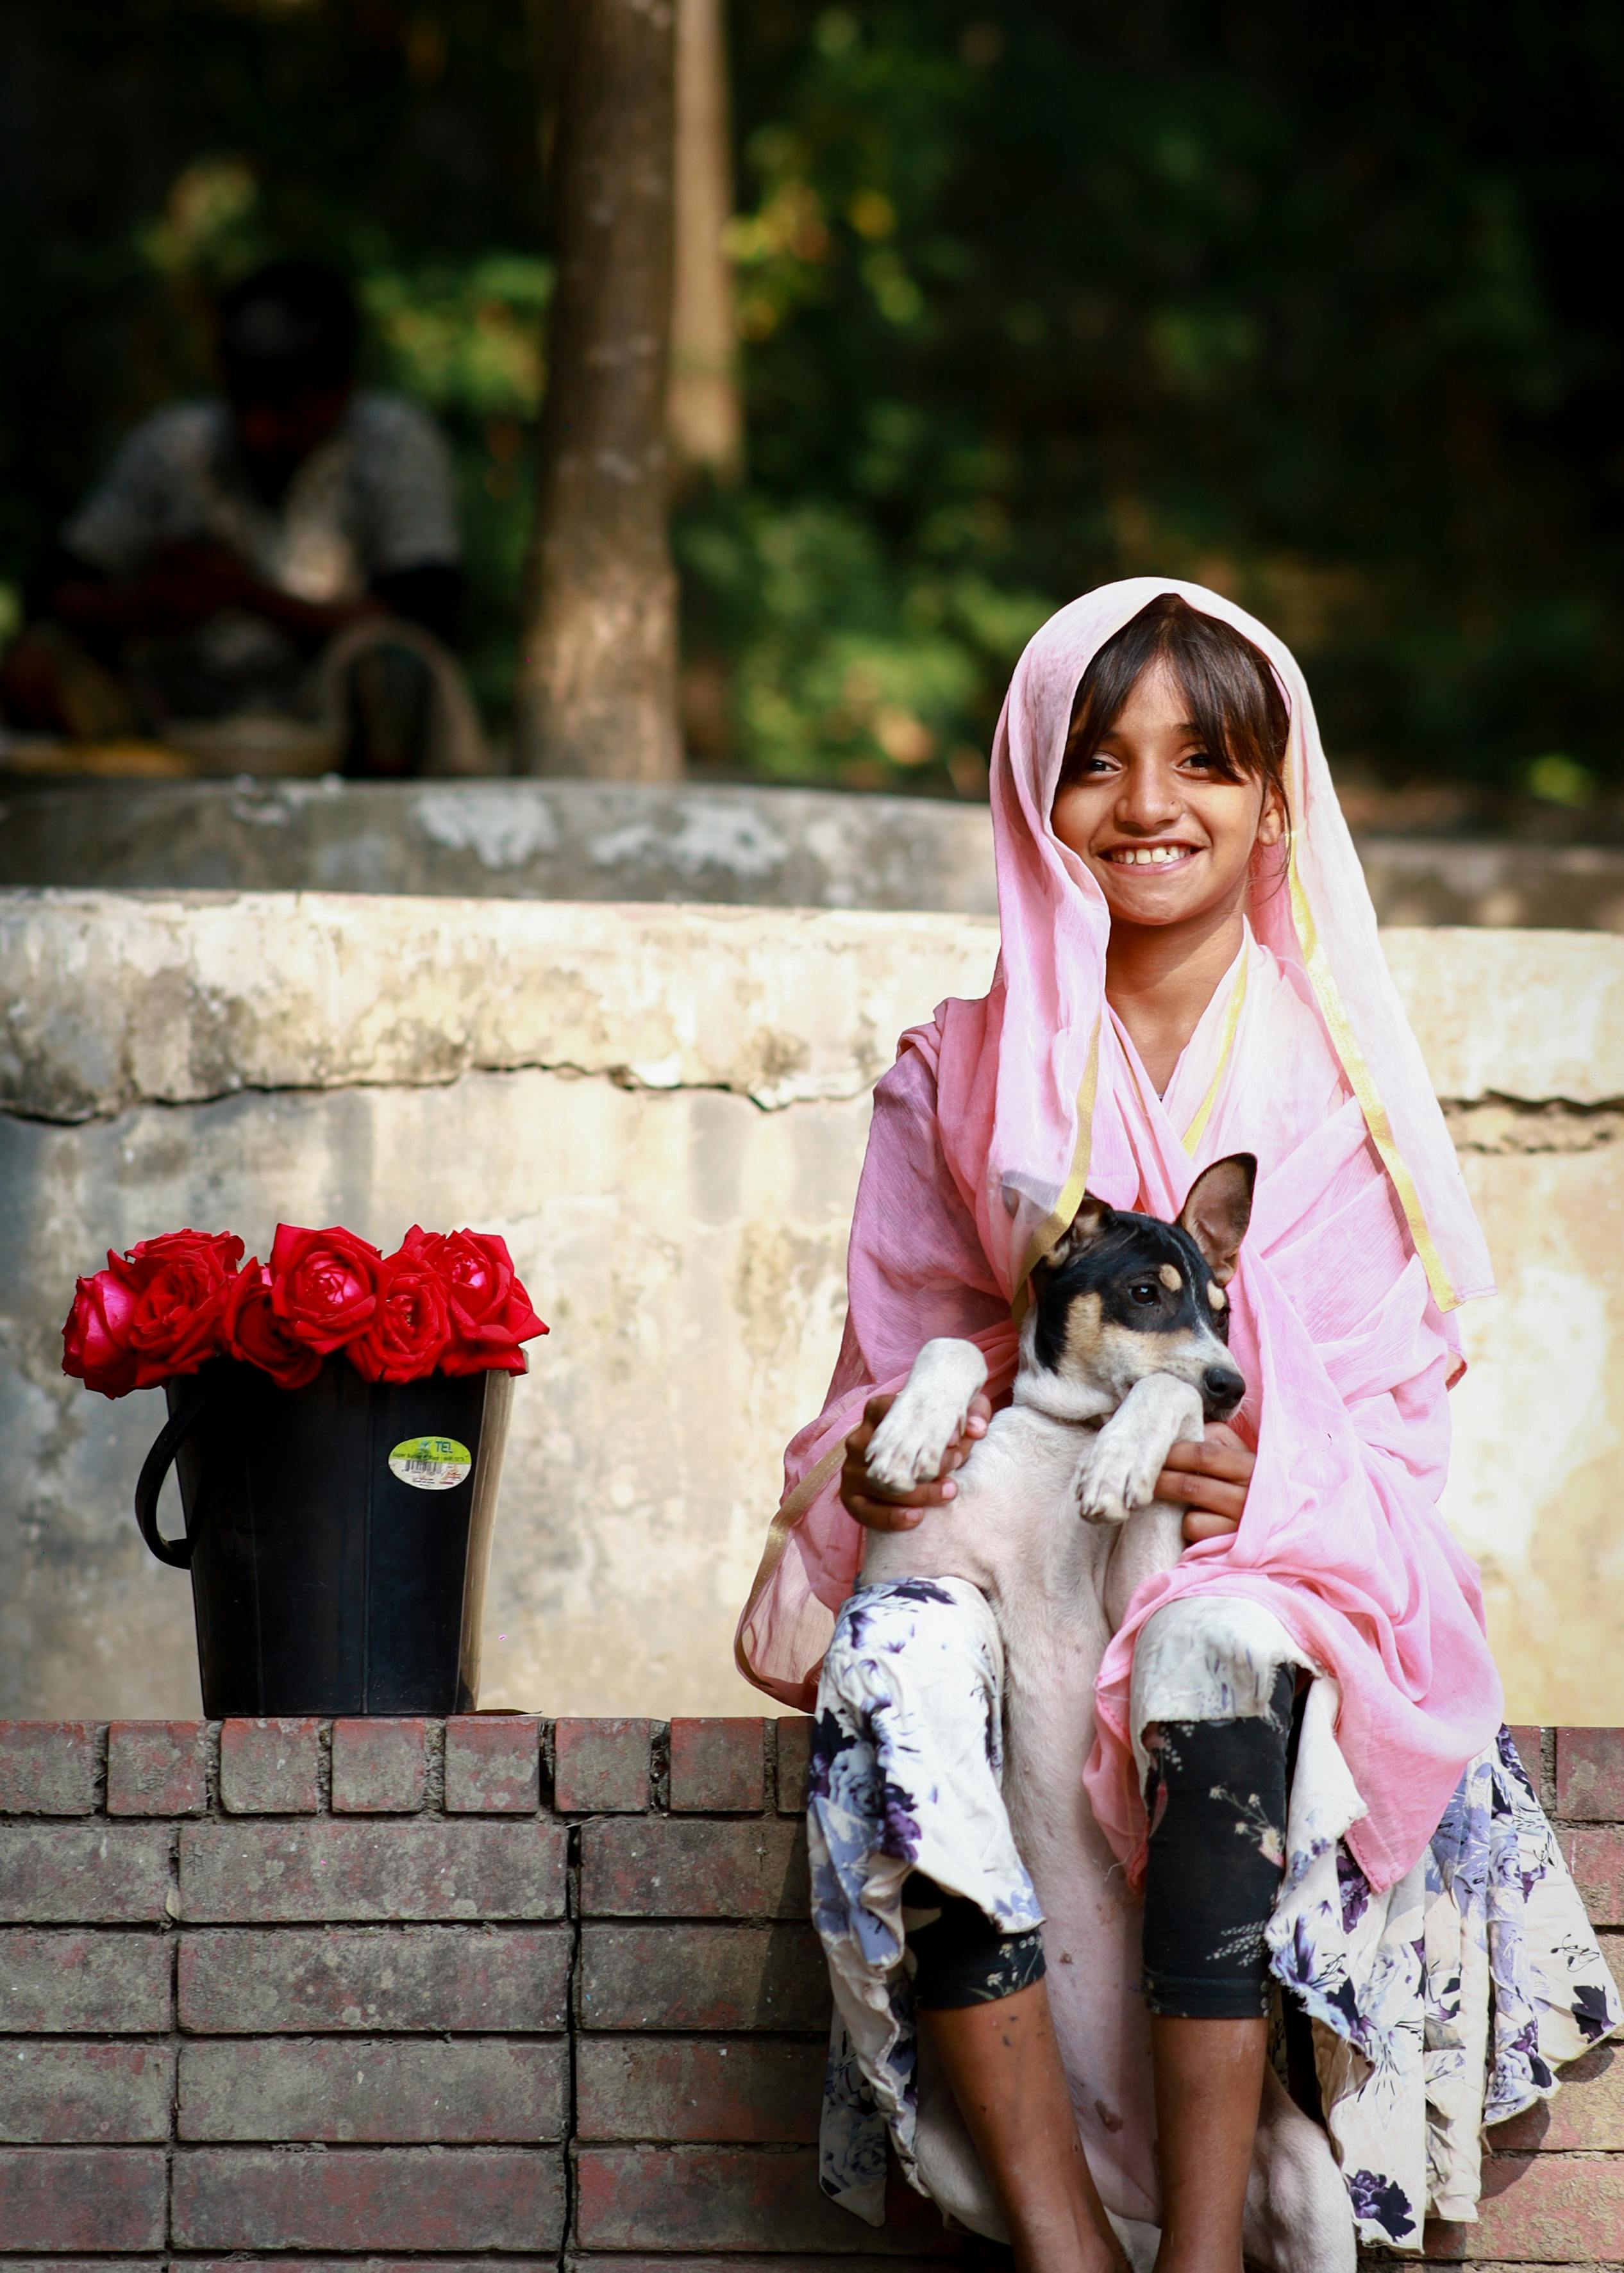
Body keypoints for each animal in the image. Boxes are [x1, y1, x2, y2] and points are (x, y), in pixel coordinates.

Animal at [858, 1164, 1353, 2273]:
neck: (1067, 1437)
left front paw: (1121, 1464)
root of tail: (1136, 2189)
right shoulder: (912, 1565)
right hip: (954, 2160)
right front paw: (911, 1431)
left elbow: (1157, 1412)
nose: (1234, 1387)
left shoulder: (1143, 1585)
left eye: (1220, 1309)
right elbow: (957, 1347)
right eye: (1142, 1294)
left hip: (1314, 2192)